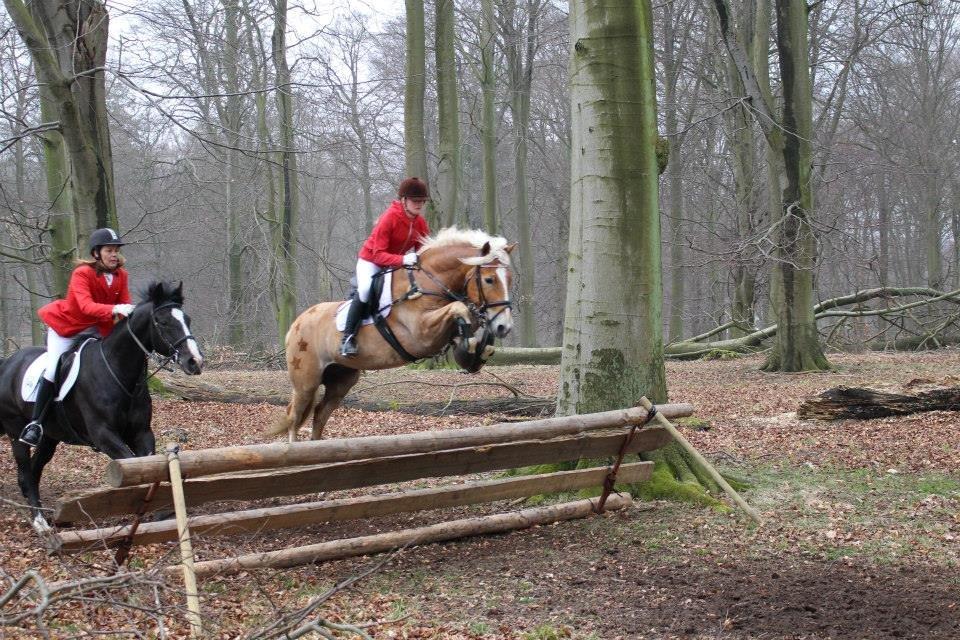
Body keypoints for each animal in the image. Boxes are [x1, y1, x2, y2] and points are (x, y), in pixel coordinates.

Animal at [0, 282, 202, 532]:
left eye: (187, 319)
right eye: (163, 322)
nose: (195, 361)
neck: (118, 372)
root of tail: (7, 364)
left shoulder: (142, 432)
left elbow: (147, 464)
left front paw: (160, 509)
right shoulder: (104, 435)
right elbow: (131, 463)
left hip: (49, 437)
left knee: (35, 470)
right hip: (16, 432)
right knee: (26, 473)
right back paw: (40, 522)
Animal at [266, 228, 512, 442]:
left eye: (509, 279)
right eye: (489, 279)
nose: (504, 327)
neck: (427, 282)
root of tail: (295, 324)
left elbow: (466, 320)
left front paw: (478, 351)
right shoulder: (420, 334)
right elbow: (459, 308)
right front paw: (473, 344)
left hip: (341, 380)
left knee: (320, 414)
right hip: (306, 381)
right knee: (294, 416)